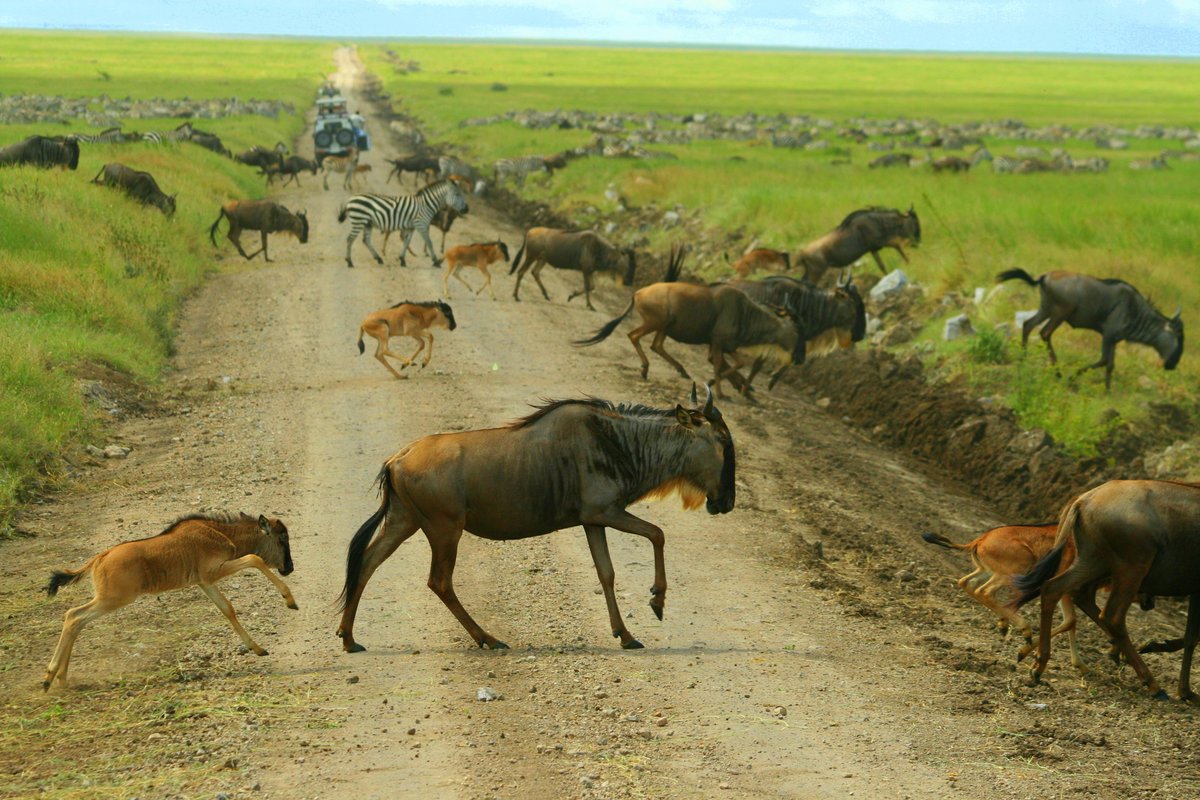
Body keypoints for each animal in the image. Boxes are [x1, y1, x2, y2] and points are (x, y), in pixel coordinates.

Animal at [575, 246, 801, 399]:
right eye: (795, 331)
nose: (798, 358)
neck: (745, 313)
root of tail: (638, 293)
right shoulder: (719, 342)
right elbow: (720, 365)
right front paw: (721, 392)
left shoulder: (724, 345)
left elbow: (736, 363)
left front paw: (723, 386)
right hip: (656, 323)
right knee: (634, 336)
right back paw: (646, 369)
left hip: (664, 327)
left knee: (656, 345)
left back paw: (679, 370)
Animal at [998, 268, 1183, 391]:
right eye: (1179, 336)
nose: (1172, 365)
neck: (1136, 310)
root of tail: (1044, 277)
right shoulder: (1107, 335)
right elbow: (1103, 360)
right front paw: (1072, 377)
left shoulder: (1114, 339)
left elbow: (1110, 365)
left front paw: (1107, 391)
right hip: (1060, 313)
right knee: (1045, 333)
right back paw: (1057, 372)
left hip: (1046, 309)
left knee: (1028, 325)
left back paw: (1023, 358)